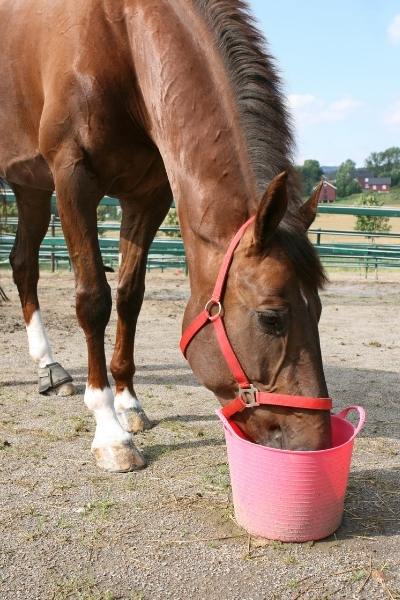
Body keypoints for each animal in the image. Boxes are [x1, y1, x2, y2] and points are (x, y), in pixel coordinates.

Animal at [0, 0, 332, 472]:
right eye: (271, 318)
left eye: (318, 309)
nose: (316, 443)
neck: (118, 34)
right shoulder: (73, 179)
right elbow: (94, 300)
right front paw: (110, 431)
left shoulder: (147, 197)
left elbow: (129, 296)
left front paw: (129, 404)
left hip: (29, 188)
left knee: (23, 264)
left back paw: (50, 367)